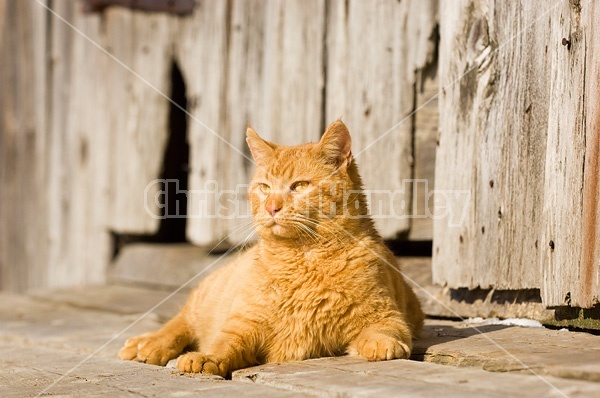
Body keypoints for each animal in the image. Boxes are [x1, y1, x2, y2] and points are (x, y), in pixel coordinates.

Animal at [119, 120, 424, 376]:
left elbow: (385, 331)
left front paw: (381, 344)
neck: (303, 257)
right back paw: (149, 344)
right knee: (181, 322)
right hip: (205, 298)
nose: (271, 207)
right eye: (264, 187)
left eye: (299, 186)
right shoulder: (244, 322)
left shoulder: (386, 315)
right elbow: (223, 344)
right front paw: (207, 358)